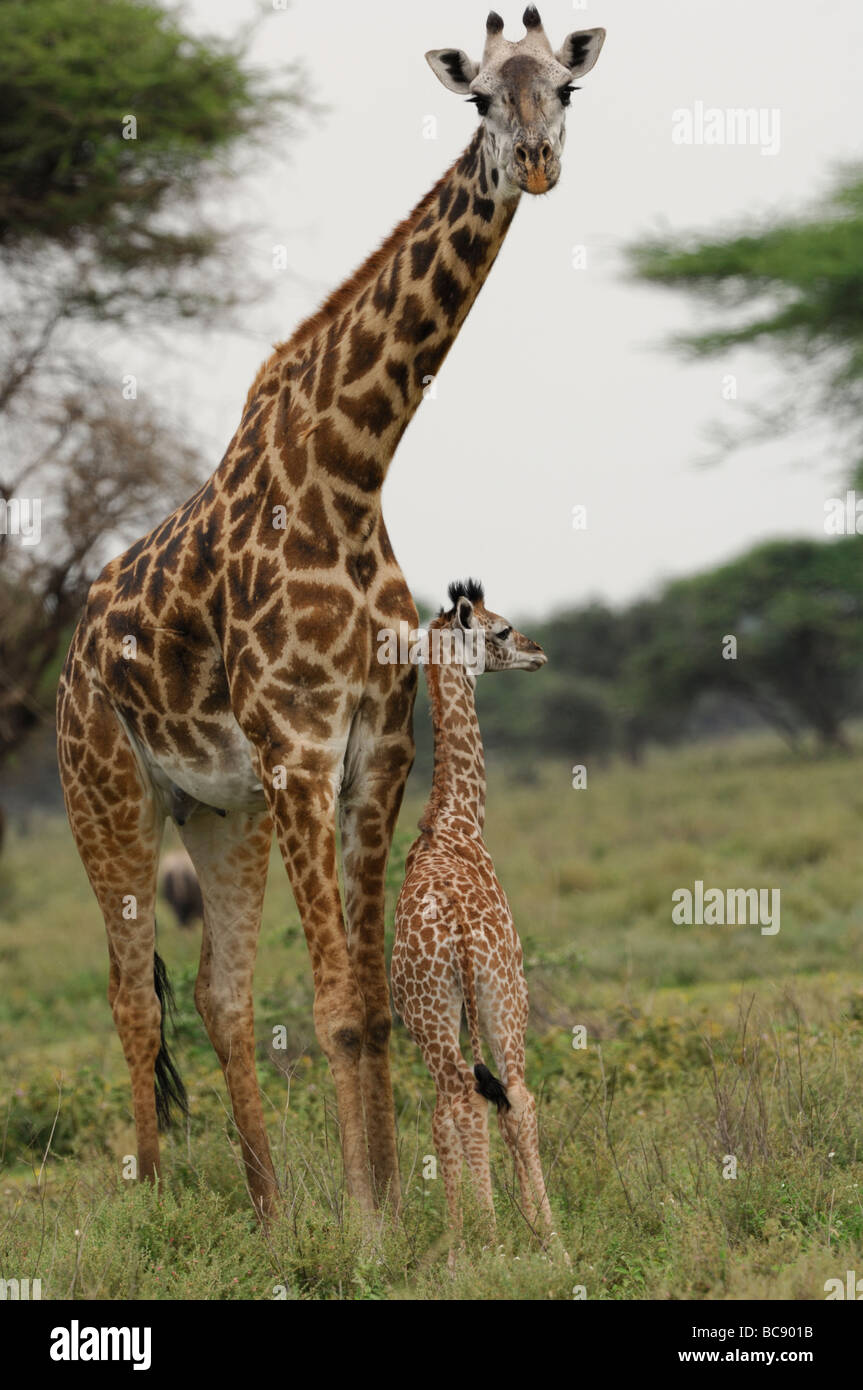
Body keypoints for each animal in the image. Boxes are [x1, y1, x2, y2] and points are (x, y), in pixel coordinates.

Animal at [55, 8, 605, 1217]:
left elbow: (374, 1010)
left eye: (565, 89)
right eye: (479, 98)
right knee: (128, 993)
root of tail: (71, 654)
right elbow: (340, 1009)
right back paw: (157, 1200)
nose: (537, 163)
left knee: (215, 991)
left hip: (223, 811)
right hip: (108, 797)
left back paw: (267, 1214)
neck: (350, 469)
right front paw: (367, 1227)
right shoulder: (303, 751)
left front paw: (393, 1209)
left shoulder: (372, 752)